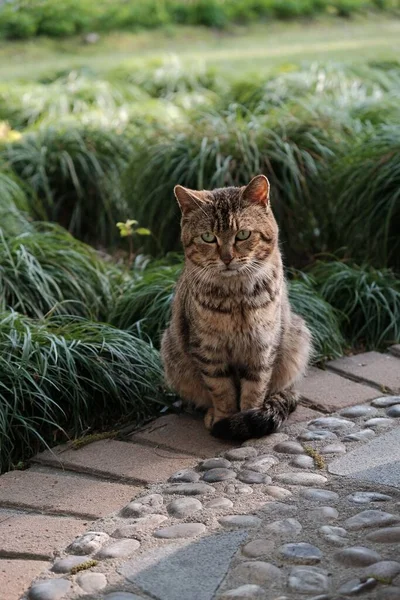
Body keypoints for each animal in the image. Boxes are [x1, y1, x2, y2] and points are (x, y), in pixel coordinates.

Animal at [161, 173, 310, 440]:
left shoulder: (262, 346)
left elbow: (255, 388)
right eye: (208, 237)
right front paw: (225, 418)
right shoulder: (208, 349)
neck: (236, 297)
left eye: (243, 235)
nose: (227, 258)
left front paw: (247, 418)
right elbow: (221, 389)